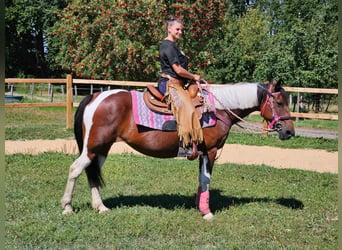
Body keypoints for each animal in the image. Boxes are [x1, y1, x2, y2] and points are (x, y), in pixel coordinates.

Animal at [60, 80, 294, 221]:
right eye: (279, 102)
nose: (289, 131)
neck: (217, 110)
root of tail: (95, 96)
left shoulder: (202, 153)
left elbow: (201, 179)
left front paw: (199, 205)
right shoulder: (210, 151)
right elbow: (206, 179)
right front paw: (207, 212)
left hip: (101, 149)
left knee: (91, 173)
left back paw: (100, 207)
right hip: (92, 148)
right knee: (75, 169)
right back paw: (67, 207)